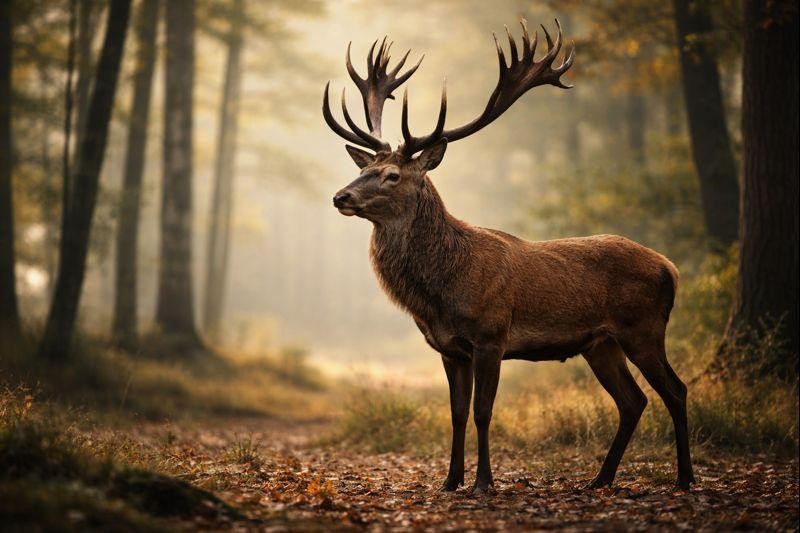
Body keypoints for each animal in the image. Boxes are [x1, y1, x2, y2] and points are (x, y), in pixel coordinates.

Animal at [323, 19, 694, 494]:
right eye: (364, 167)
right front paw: (450, 481)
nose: (341, 196)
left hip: (643, 328)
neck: (441, 294)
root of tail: (671, 268)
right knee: (633, 401)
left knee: (675, 390)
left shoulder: (491, 336)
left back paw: (684, 478)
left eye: (391, 175)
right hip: (601, 343)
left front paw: (484, 482)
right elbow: (457, 414)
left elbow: (483, 412)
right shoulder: (449, 349)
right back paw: (600, 479)